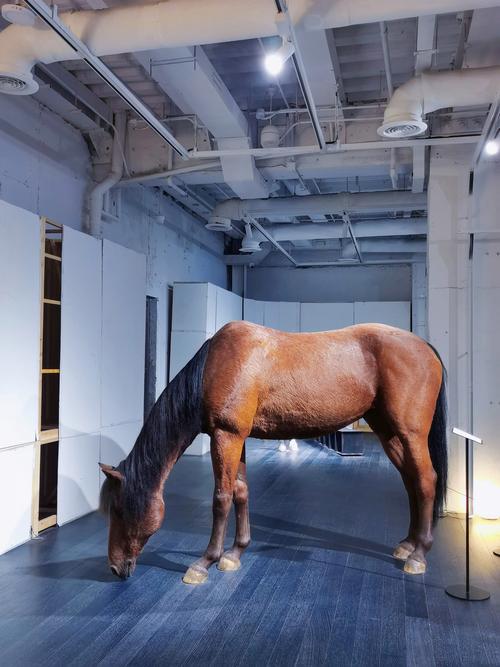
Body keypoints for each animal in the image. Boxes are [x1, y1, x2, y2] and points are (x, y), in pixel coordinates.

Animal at [99, 320, 447, 585]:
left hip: (411, 434)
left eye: (118, 509)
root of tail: (424, 345)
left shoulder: (225, 436)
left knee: (426, 480)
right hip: (389, 433)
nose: (115, 568)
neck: (215, 366)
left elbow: (221, 498)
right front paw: (234, 554)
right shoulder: (235, 438)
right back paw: (407, 544)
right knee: (411, 482)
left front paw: (205, 562)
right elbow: (240, 492)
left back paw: (419, 555)